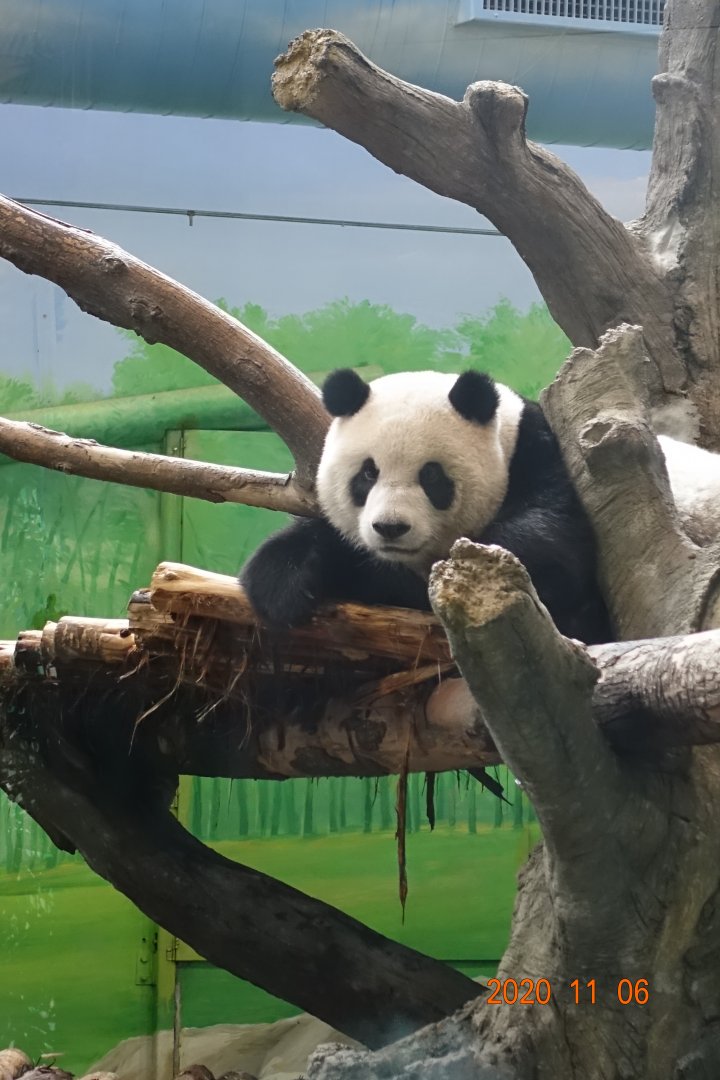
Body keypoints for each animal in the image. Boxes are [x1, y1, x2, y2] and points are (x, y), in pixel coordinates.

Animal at [242, 367, 615, 644]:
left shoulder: (538, 456)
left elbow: (547, 550)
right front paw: (282, 585)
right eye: (368, 473)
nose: (390, 527)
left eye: (431, 475)